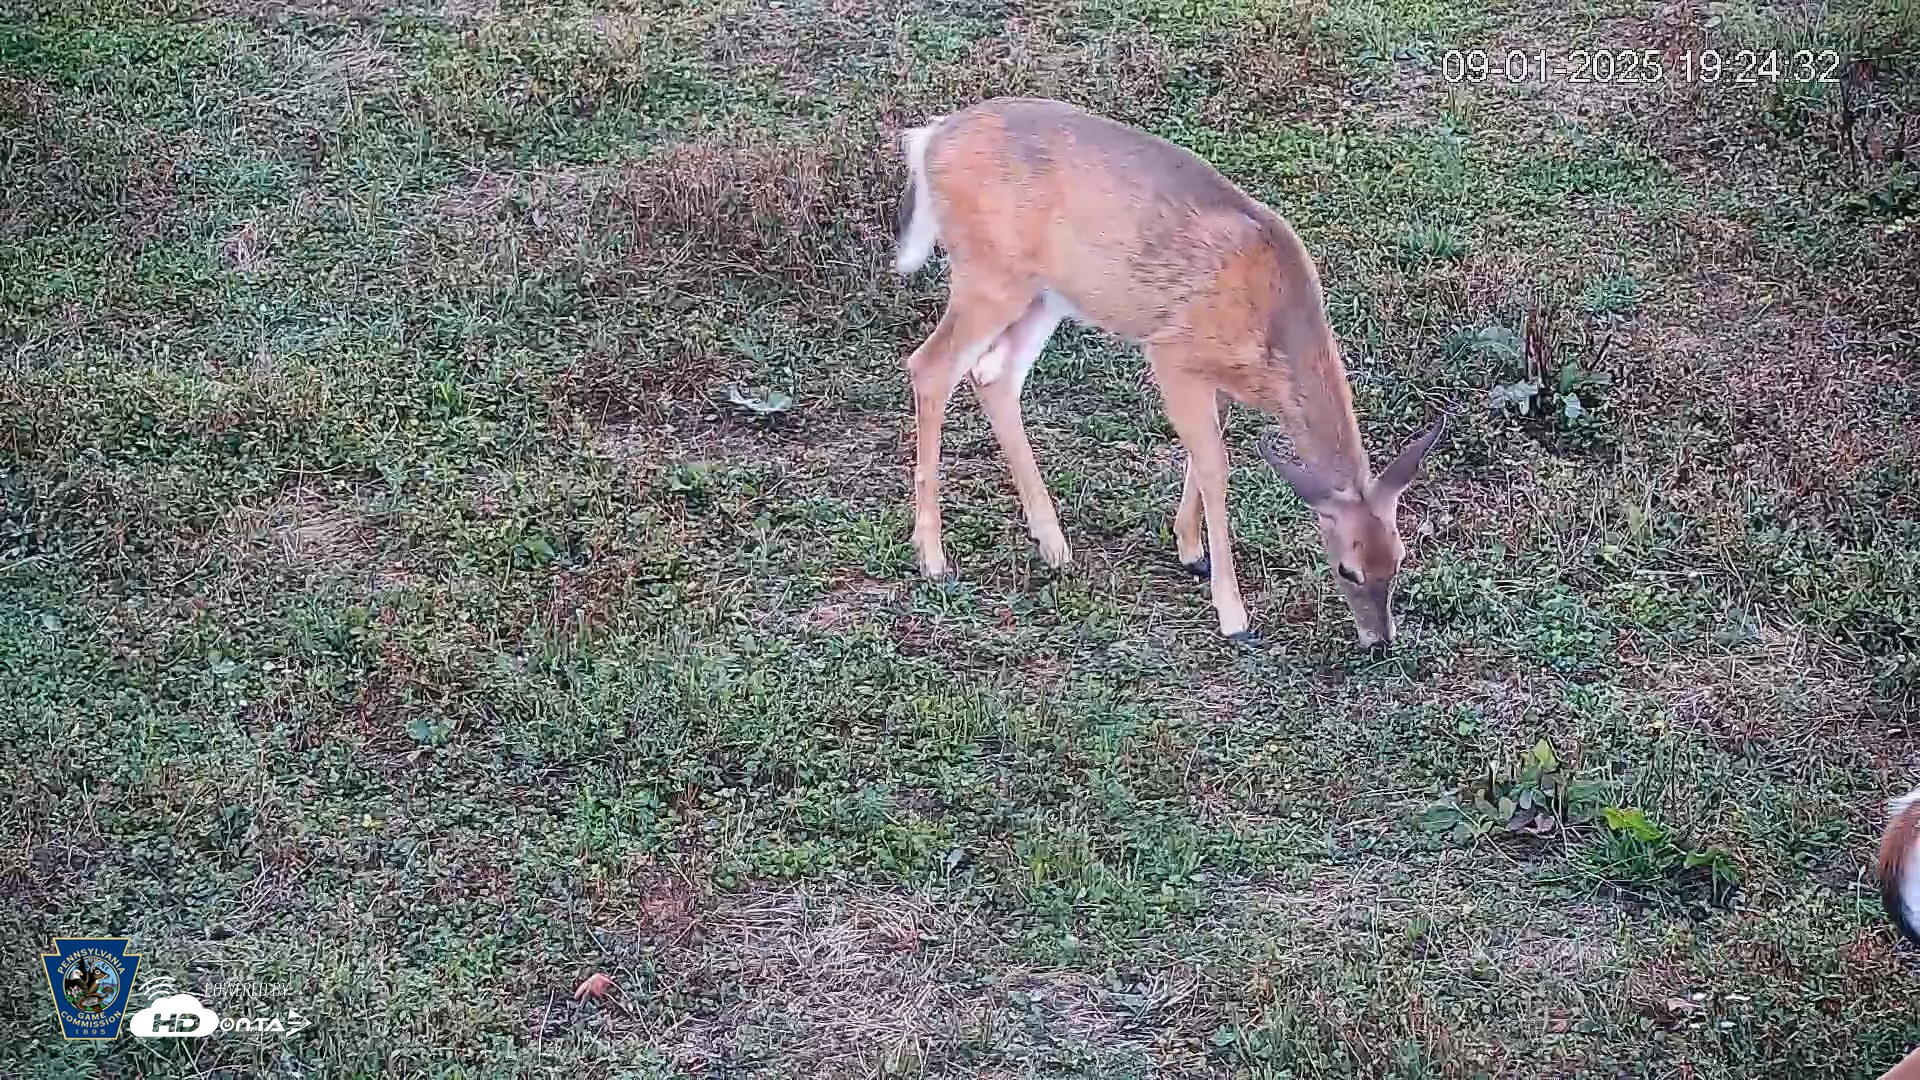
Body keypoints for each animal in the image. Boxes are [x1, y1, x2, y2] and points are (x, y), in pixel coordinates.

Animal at [890, 96, 1447, 646]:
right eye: (1346, 568)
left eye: (1399, 557)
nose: (1380, 641)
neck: (1271, 325)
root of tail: (929, 139)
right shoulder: (1172, 355)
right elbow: (1217, 468)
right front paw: (1233, 615)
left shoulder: (1214, 379)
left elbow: (1202, 461)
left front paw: (1190, 550)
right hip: (989, 276)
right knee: (931, 366)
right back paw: (934, 558)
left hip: (1045, 295)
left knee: (994, 375)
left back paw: (1053, 544)